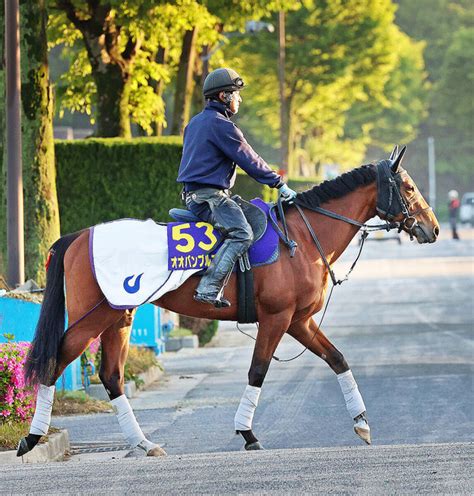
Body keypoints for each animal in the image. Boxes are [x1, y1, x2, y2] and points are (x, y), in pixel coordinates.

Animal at [18, 146, 440, 458]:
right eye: (408, 186)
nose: (433, 228)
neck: (302, 237)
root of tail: (76, 237)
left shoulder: (299, 321)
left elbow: (337, 359)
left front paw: (362, 422)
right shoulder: (277, 319)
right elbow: (257, 372)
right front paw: (247, 433)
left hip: (118, 317)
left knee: (111, 376)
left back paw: (143, 442)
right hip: (94, 317)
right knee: (56, 360)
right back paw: (32, 437)